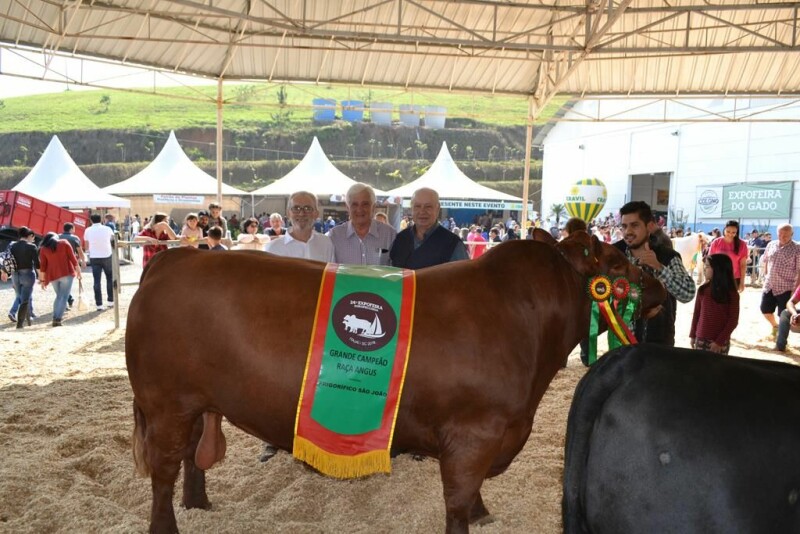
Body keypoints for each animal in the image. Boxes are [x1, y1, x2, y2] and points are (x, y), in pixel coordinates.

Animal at [125, 234, 664, 534]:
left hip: (194, 402)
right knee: (163, 472)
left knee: (192, 455)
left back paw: (199, 504)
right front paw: (472, 515)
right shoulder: (474, 434)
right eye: (618, 267)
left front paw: (485, 512)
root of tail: (174, 259)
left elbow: (471, 497)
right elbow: (457, 501)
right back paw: (167, 526)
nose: (659, 284)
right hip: (165, 403)